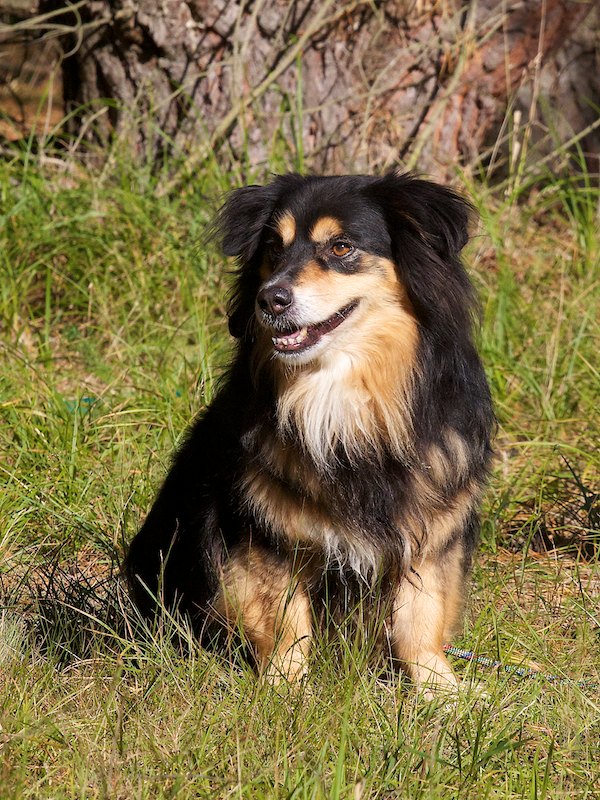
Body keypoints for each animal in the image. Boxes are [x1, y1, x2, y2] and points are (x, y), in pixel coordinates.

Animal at [125, 171, 494, 692]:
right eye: (273, 248)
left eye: (341, 247)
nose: (270, 299)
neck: (339, 391)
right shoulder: (266, 527)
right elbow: (284, 620)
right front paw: (286, 689)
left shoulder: (432, 524)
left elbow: (420, 619)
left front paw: (441, 691)